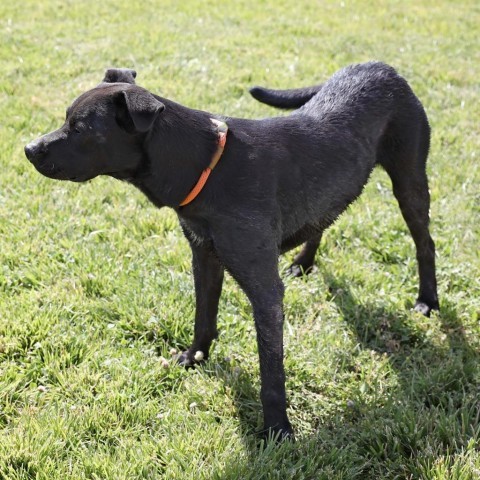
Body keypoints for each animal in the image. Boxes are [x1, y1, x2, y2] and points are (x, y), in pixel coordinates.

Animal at [25, 62, 438, 438]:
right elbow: (203, 316)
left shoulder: (264, 289)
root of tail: (378, 67)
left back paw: (427, 300)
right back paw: (305, 263)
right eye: (65, 118)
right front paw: (195, 357)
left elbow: (271, 369)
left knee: (426, 243)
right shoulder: (205, 257)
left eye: (81, 129)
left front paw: (277, 429)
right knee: (323, 221)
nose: (28, 149)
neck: (206, 165)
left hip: (409, 179)